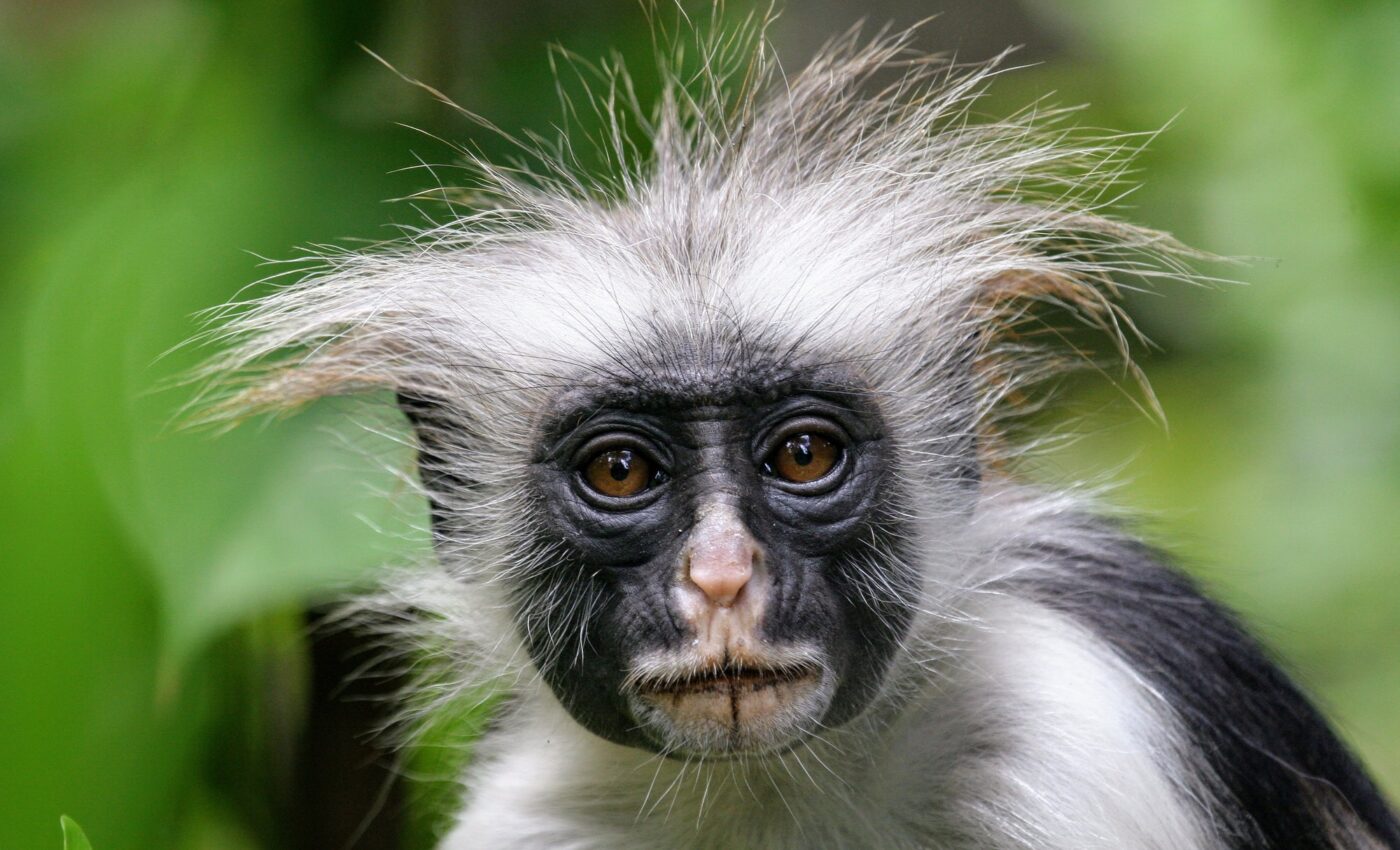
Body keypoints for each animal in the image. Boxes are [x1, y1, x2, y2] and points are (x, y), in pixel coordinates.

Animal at [201, 22, 1399, 850]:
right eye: (620, 469)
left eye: (803, 455)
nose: (722, 578)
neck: (770, 787)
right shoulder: (533, 814)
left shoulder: (1077, 734)